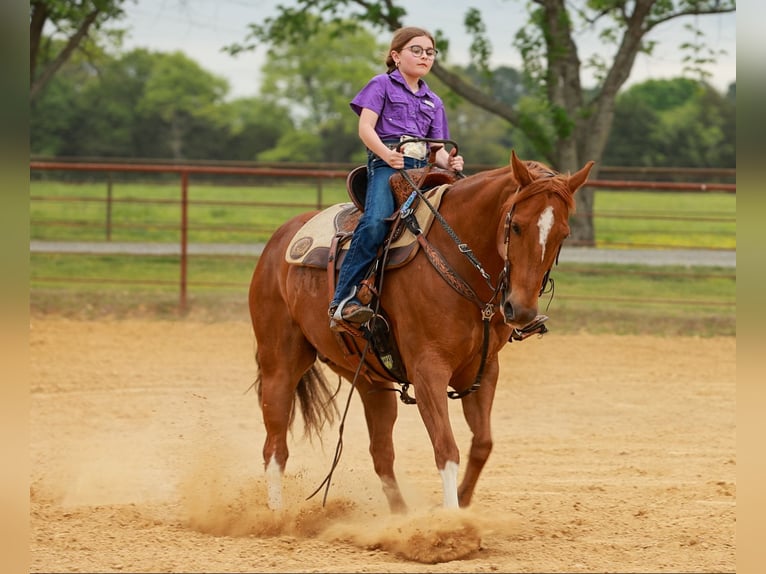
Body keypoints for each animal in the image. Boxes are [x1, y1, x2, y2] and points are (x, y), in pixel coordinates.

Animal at [248, 150, 594, 513]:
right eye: (516, 226)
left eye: (563, 234)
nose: (521, 310)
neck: (458, 261)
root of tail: (279, 239)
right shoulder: (429, 369)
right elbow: (446, 449)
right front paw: (452, 519)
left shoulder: (483, 370)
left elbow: (482, 444)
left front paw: (463, 502)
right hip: (280, 363)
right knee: (275, 447)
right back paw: (277, 514)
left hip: (369, 378)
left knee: (381, 452)